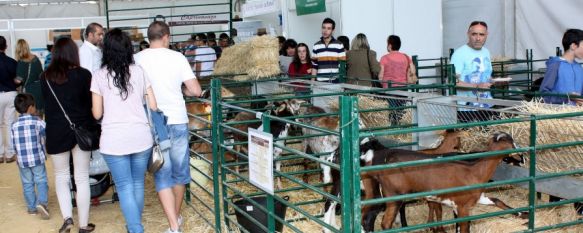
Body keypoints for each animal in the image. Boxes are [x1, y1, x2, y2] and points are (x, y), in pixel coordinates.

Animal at [362, 132, 524, 232]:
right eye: (513, 143)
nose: (522, 156)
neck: (474, 171)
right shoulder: (463, 207)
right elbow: (464, 228)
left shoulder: (472, 201)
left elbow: (498, 201)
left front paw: (523, 214)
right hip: (393, 196)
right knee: (384, 222)